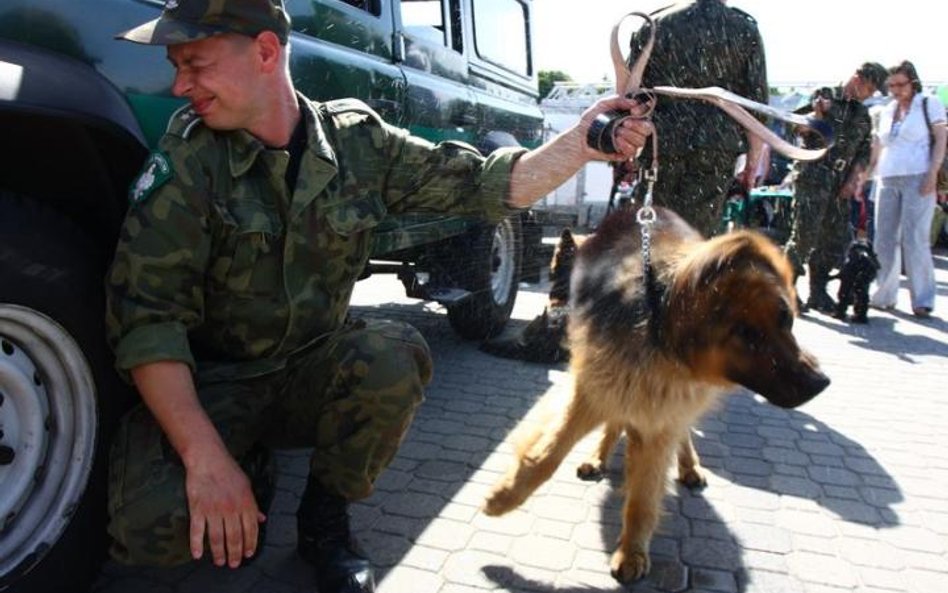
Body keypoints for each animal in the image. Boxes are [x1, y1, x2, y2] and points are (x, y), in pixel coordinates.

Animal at [486, 207, 824, 584]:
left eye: (787, 320)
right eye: (748, 334)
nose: (821, 382)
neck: (655, 328)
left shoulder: (661, 412)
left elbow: (643, 497)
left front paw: (632, 551)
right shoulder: (595, 386)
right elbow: (545, 454)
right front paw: (503, 497)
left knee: (680, 433)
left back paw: (689, 466)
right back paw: (598, 458)